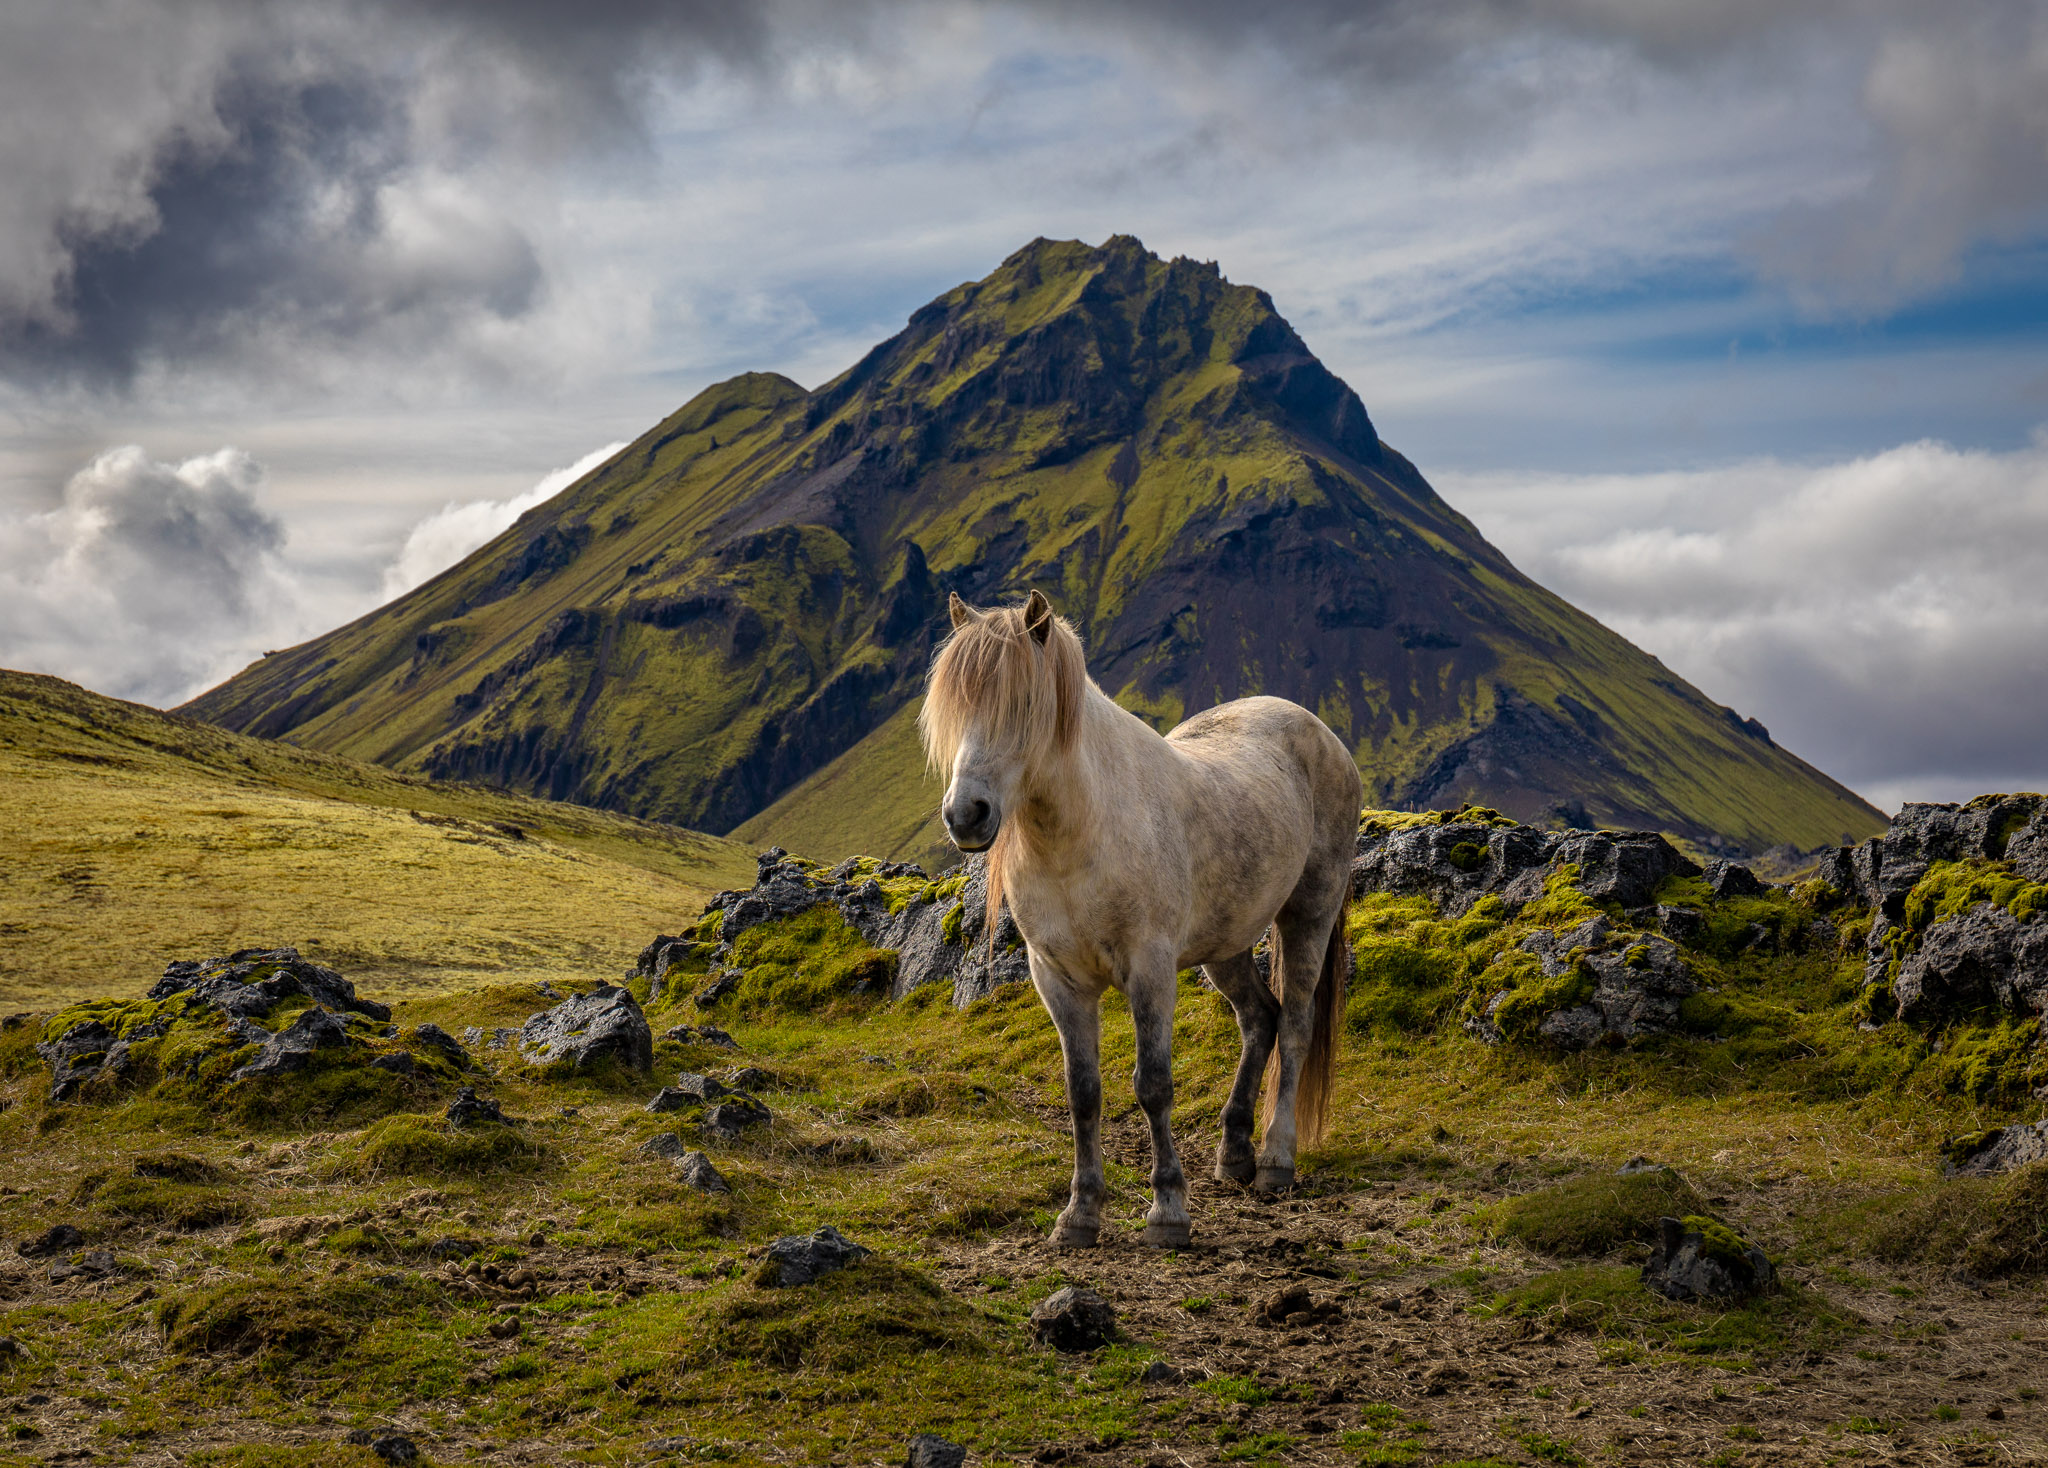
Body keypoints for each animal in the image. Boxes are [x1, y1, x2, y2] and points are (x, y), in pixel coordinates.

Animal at [921, 589, 1351, 1244]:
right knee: (1261, 1020)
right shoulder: (1059, 979)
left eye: (1024, 705)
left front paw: (1168, 1210)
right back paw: (1234, 1154)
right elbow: (1083, 1092)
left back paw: (1277, 1161)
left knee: (1296, 1025)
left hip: (1310, 914)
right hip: (1225, 944)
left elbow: (1152, 1085)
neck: (1080, 835)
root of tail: (1320, 733)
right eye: (956, 708)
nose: (966, 814)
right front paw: (1080, 1213)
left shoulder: (1150, 969)